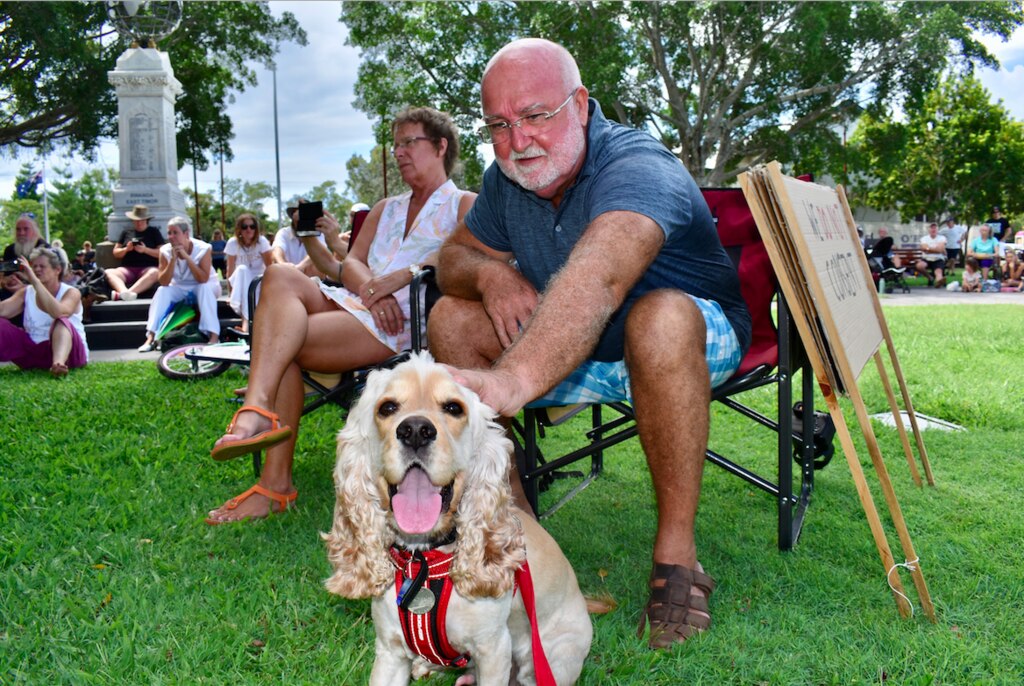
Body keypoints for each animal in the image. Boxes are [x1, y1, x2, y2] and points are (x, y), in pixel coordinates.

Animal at [323, 354, 589, 686]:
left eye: (453, 408)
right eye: (387, 407)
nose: (415, 430)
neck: (425, 561)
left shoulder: (493, 648)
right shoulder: (389, 650)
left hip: (549, 658)